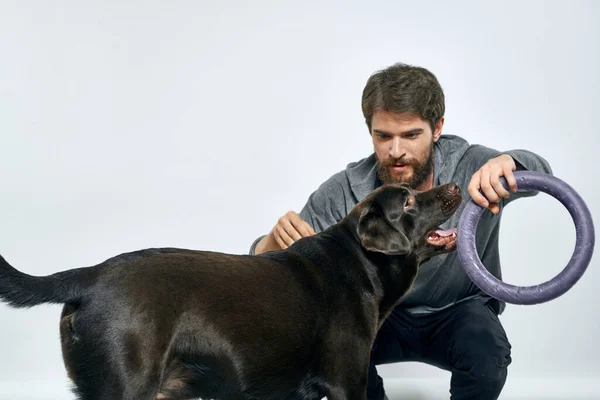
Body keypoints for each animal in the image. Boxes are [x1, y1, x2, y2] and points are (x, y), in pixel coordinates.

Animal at [0, 182, 462, 400]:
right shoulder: (346, 383)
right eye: (406, 201)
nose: (456, 186)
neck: (361, 263)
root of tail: (92, 274)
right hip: (124, 386)